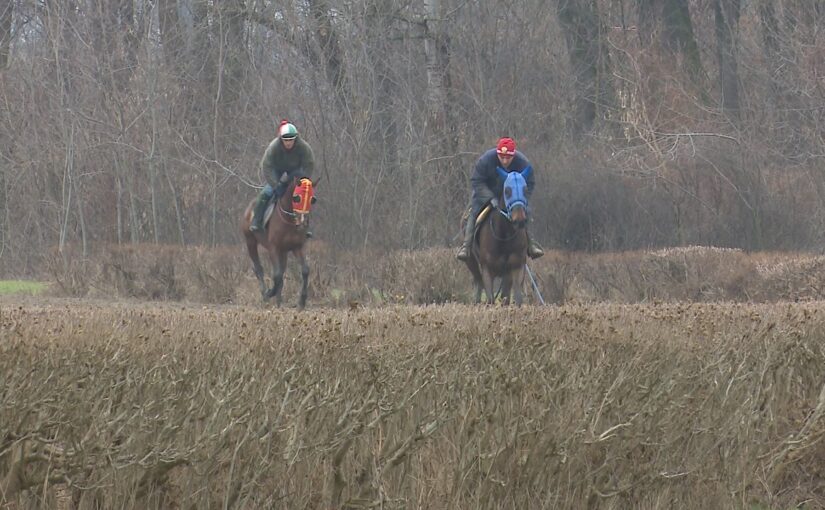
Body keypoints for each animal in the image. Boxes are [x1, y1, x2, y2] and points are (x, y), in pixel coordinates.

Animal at [241, 177, 316, 308]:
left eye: (312, 199)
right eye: (296, 198)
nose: (302, 222)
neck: (289, 221)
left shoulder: (297, 247)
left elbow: (305, 270)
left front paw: (302, 301)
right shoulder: (273, 248)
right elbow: (277, 275)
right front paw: (270, 292)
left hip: (283, 252)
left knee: (281, 271)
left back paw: (279, 302)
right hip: (250, 241)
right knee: (259, 268)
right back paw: (266, 295)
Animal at [464, 167, 528, 304]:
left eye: (525, 190)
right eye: (507, 191)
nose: (519, 220)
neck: (503, 235)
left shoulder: (516, 267)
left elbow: (515, 298)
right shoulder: (487, 269)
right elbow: (490, 299)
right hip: (471, 261)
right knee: (478, 281)